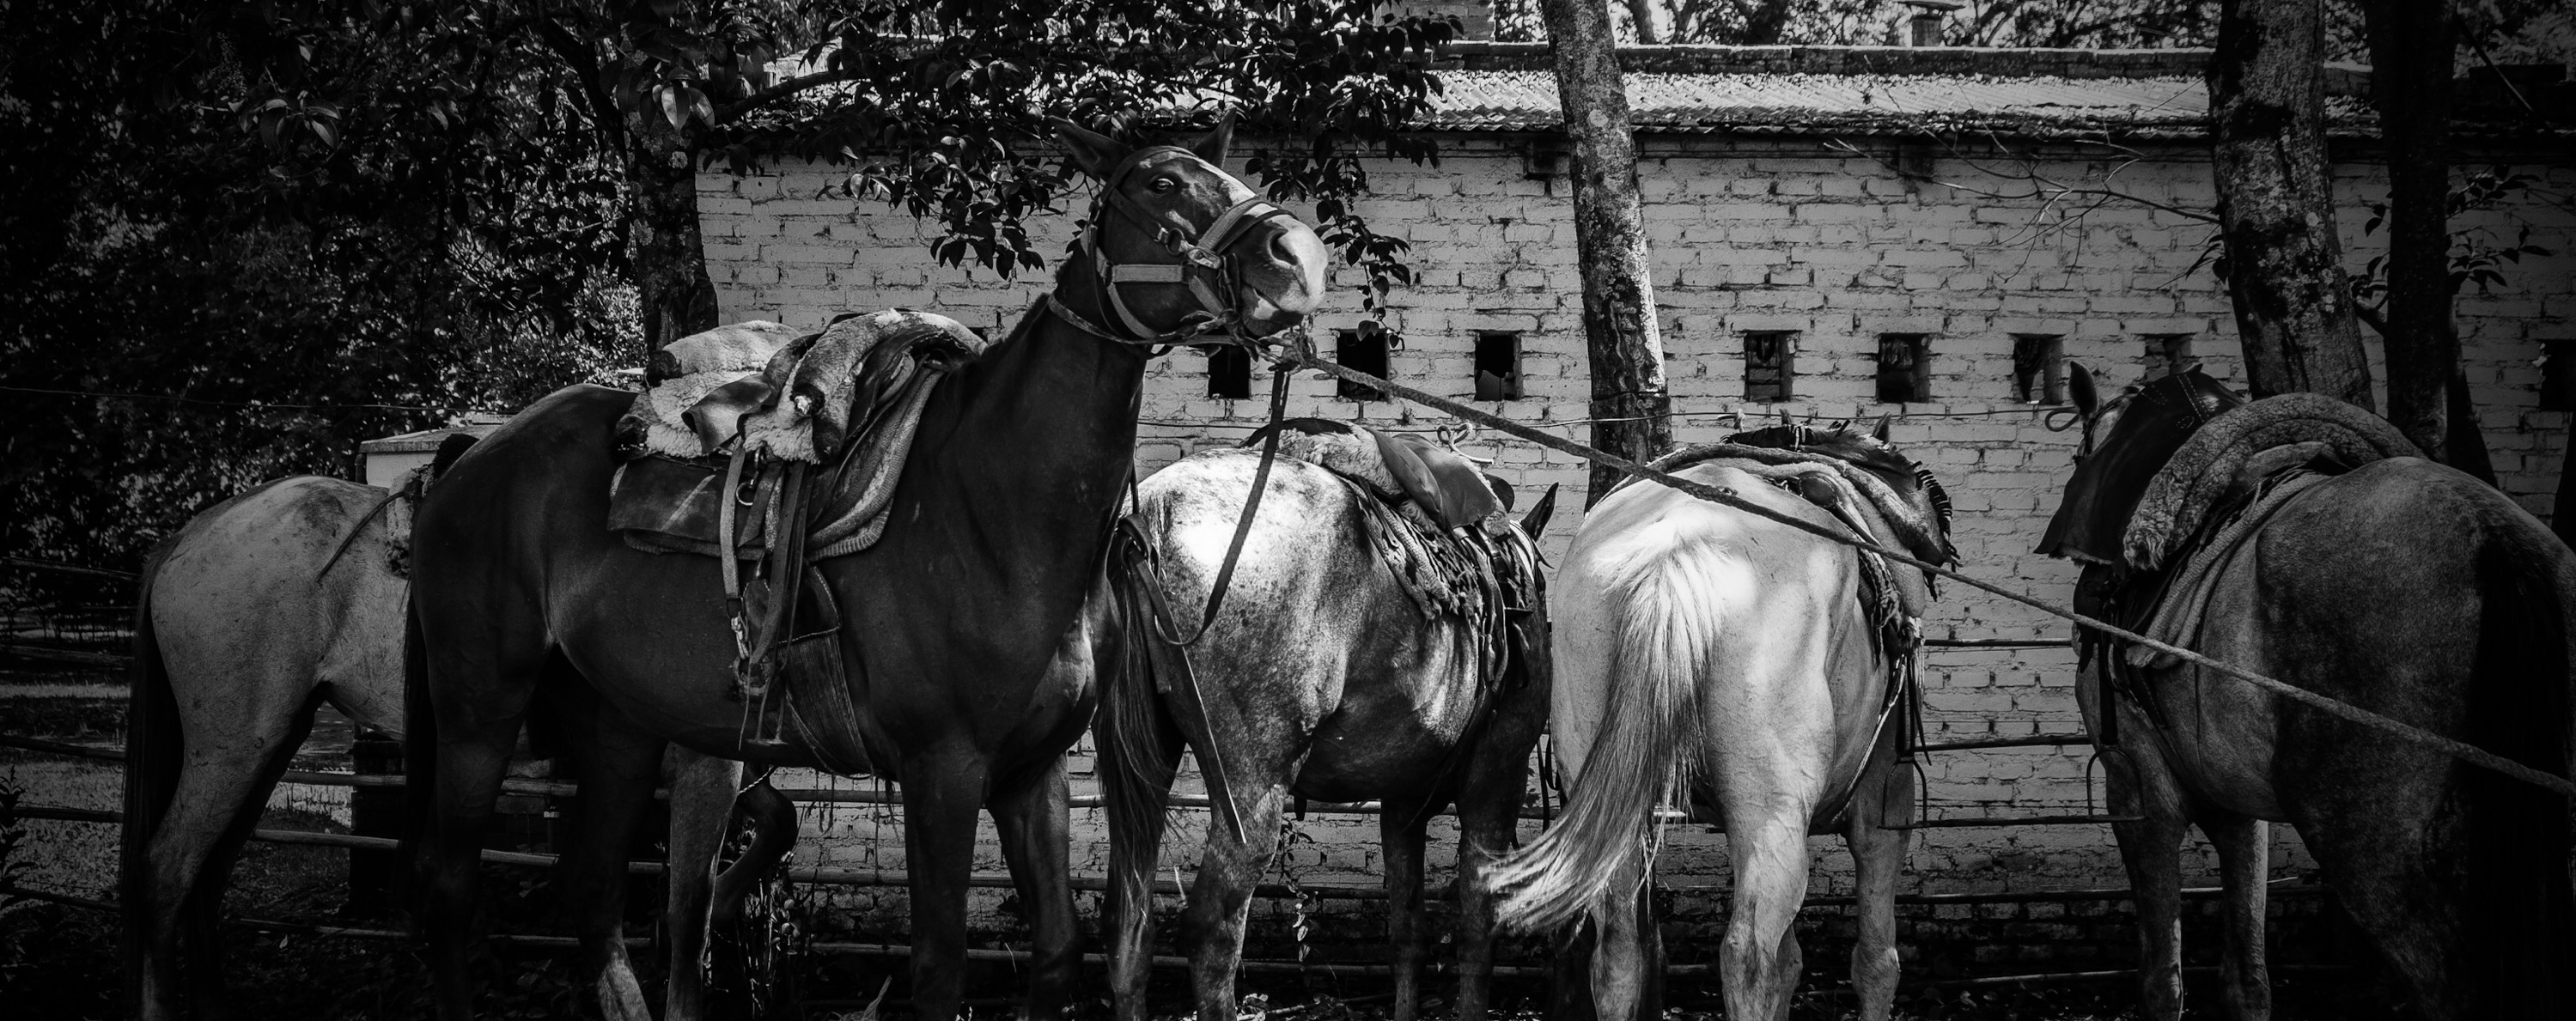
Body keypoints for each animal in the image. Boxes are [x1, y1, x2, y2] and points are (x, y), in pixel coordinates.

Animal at [118, 449, 795, 1021]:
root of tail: (192, 534)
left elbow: (777, 819)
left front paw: (730, 897)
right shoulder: (704, 760)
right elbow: (688, 915)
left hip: (272, 743)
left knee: (205, 878)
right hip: (231, 748)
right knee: (166, 871)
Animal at [402, 116, 1330, 1021]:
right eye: (1161, 182)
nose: (1298, 256)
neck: (992, 506)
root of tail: (472, 458)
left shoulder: (1030, 777)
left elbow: (1057, 953)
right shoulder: (941, 772)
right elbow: (938, 971)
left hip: (616, 724)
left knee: (594, 893)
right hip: (482, 706)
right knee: (448, 888)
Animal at [1094, 424, 1557, 1021]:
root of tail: (1149, 517)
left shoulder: (1403, 798)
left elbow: (1407, 930)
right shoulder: (1496, 781)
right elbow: (1479, 926)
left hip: (1145, 768)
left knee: (1128, 921)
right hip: (1254, 786)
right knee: (1213, 928)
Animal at [1486, 420, 1956, 1021]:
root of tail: (1677, 553)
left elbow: (1792, 963)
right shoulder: (1883, 801)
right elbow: (1875, 961)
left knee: (1618, 950)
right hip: (1770, 814)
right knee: (1746, 956)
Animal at [2039, 364, 2576, 1021]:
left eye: (2081, 453)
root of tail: (2490, 534)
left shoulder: (2138, 789)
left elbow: (2162, 982)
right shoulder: (2233, 802)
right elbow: (2247, 982)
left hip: (2372, 845)